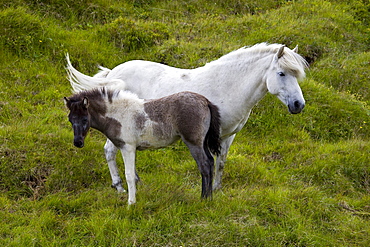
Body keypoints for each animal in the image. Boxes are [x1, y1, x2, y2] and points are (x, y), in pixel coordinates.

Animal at [67, 42, 310, 191]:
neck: (226, 85)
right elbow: (210, 162)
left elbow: (221, 163)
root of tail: (113, 74)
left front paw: (217, 190)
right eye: (282, 73)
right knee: (109, 151)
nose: (299, 105)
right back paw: (119, 186)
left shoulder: (228, 136)